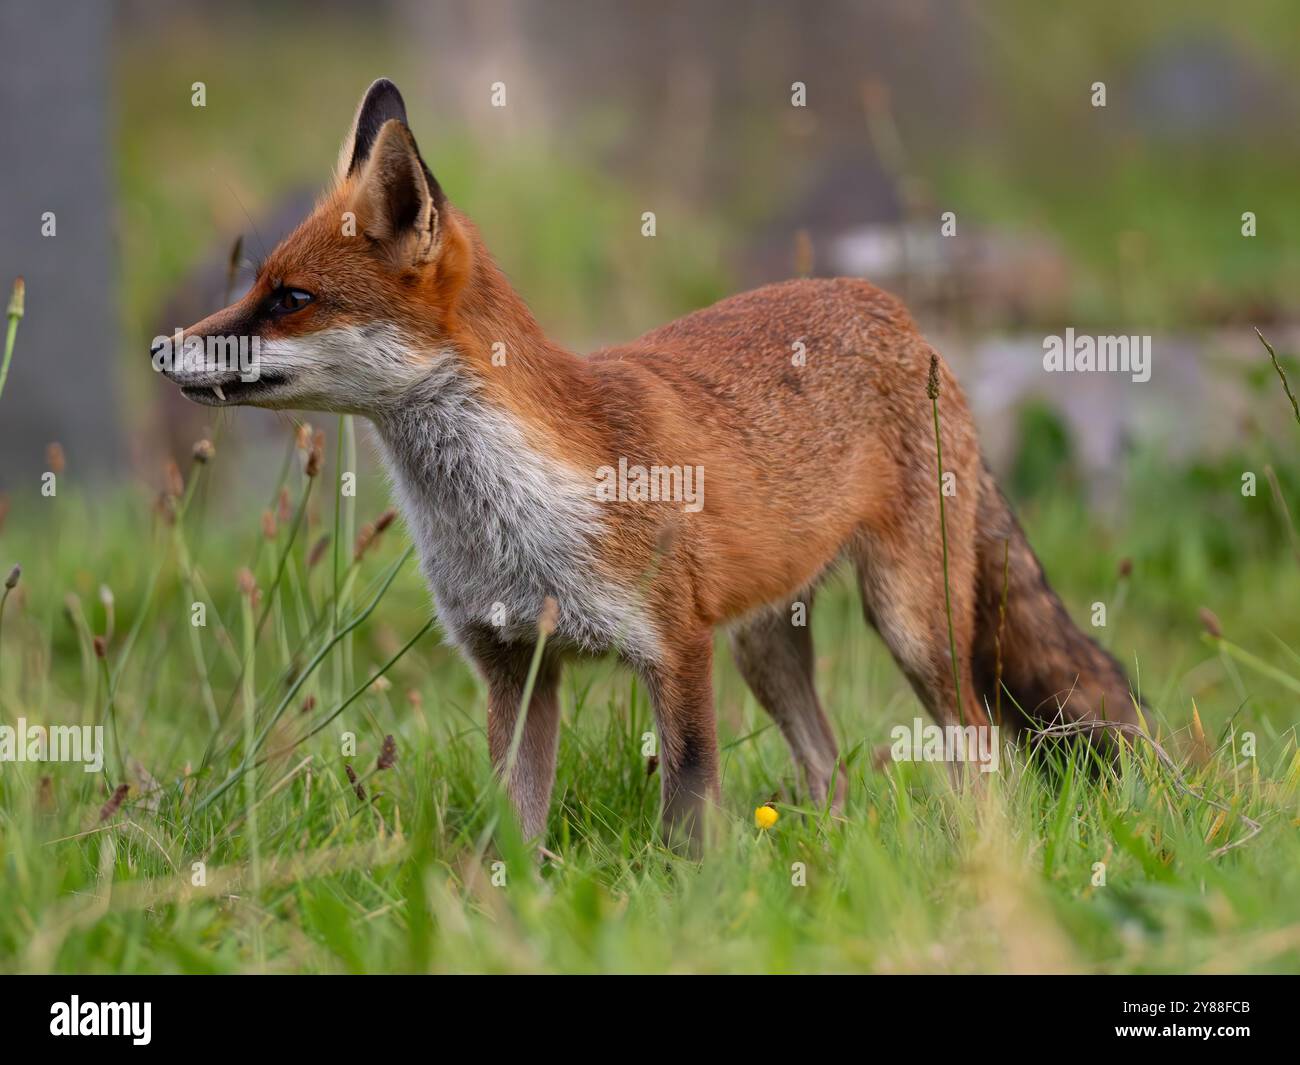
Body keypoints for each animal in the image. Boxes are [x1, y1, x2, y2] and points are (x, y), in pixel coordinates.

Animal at [159, 78, 1138, 847]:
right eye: (254, 286)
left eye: (291, 299)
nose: (162, 349)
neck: (510, 515)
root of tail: (890, 305)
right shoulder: (512, 665)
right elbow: (513, 828)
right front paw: (507, 916)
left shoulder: (677, 647)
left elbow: (687, 813)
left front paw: (693, 904)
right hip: (765, 646)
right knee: (831, 766)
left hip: (908, 621)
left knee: (978, 750)